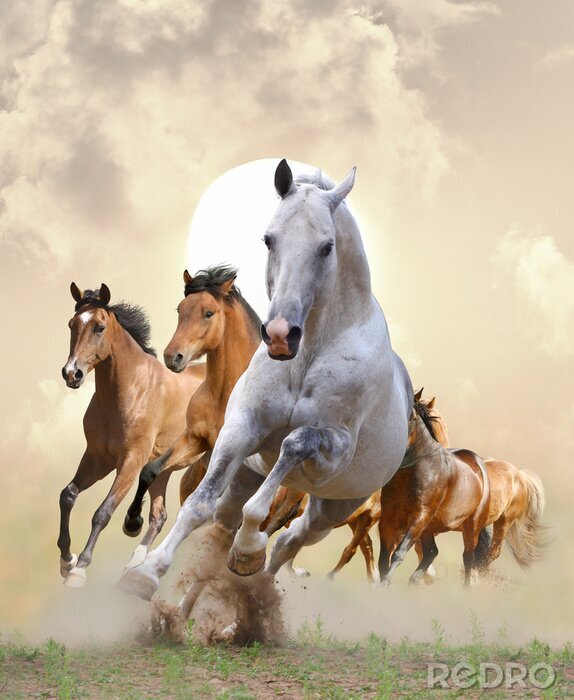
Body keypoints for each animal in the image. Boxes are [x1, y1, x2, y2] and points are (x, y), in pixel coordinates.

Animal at [58, 283, 204, 587]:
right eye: (71, 325)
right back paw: (135, 564)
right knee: (159, 515)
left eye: (99, 327)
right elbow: (68, 495)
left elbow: (103, 512)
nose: (71, 374)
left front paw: (80, 568)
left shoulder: (131, 461)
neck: (129, 391)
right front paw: (67, 560)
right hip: (166, 469)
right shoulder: (97, 459)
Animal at [122, 265, 263, 569]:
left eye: (208, 313)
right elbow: (150, 470)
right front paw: (132, 522)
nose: (172, 357)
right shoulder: (195, 439)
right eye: (180, 309)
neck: (225, 394)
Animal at [377, 405, 491, 586]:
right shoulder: (387, 519)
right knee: (432, 551)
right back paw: (414, 581)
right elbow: (383, 559)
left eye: (412, 418)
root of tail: (477, 463)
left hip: (471, 526)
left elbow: (398, 553)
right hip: (429, 528)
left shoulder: (419, 518)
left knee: (468, 557)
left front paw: (385, 584)